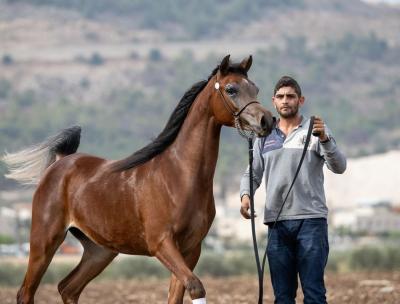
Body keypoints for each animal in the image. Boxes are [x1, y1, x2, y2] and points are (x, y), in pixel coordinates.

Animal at [1, 55, 274, 304]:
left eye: (255, 88)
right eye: (231, 89)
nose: (267, 121)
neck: (179, 176)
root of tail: (61, 163)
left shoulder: (190, 249)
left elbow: (177, 294)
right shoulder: (162, 243)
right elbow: (196, 287)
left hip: (99, 251)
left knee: (68, 288)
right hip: (44, 241)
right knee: (26, 293)